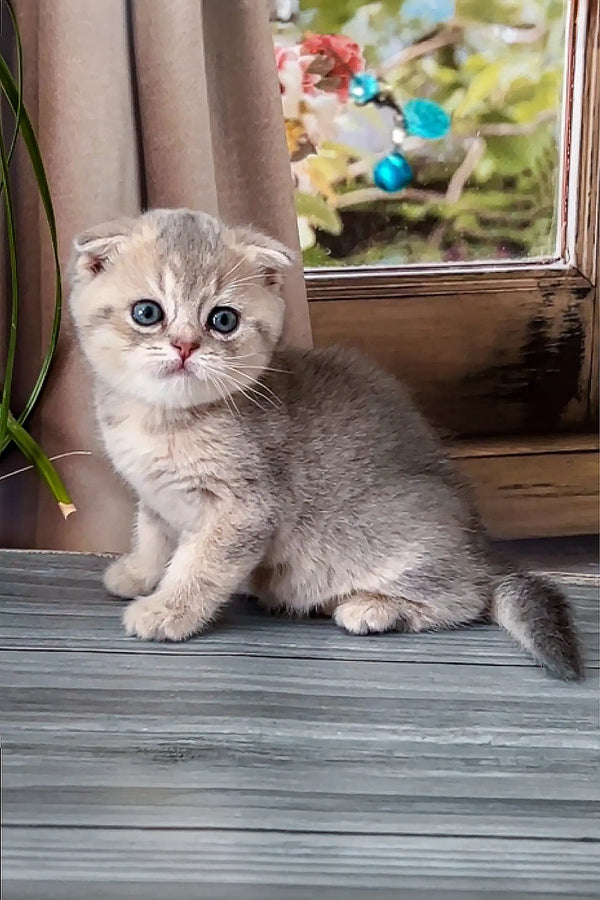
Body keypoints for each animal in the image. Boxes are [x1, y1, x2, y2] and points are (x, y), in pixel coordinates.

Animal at [69, 207, 580, 680]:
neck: (162, 420)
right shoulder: (155, 496)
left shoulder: (243, 510)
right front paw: (139, 575)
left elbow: (199, 568)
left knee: (467, 597)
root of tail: (479, 550)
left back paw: (376, 607)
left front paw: (167, 611)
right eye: (147, 312)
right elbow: (154, 538)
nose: (185, 346)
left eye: (223, 320)